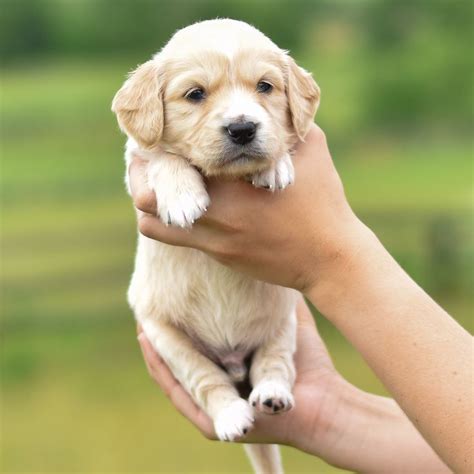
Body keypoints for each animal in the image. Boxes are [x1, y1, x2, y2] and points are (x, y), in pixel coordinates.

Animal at [111, 18, 318, 474]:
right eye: (195, 94)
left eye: (265, 87)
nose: (243, 128)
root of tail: (235, 360)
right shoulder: (137, 157)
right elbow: (164, 156)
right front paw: (182, 196)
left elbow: (285, 141)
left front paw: (275, 164)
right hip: (167, 336)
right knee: (207, 379)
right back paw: (231, 415)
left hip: (283, 319)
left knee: (274, 361)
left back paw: (272, 394)